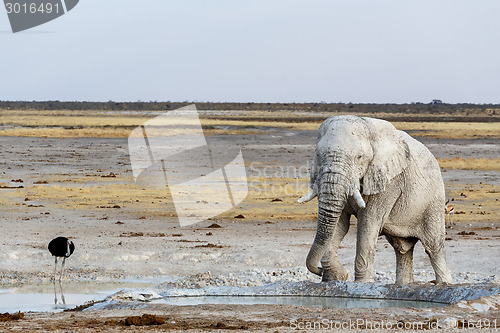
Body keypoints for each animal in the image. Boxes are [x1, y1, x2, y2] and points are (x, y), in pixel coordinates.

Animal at [298, 115, 452, 282]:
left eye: (359, 157)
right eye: (318, 155)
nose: (319, 271)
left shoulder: (390, 181)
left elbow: (368, 223)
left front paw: (361, 283)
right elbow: (340, 223)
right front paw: (336, 277)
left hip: (434, 200)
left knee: (434, 248)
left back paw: (444, 284)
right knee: (402, 250)